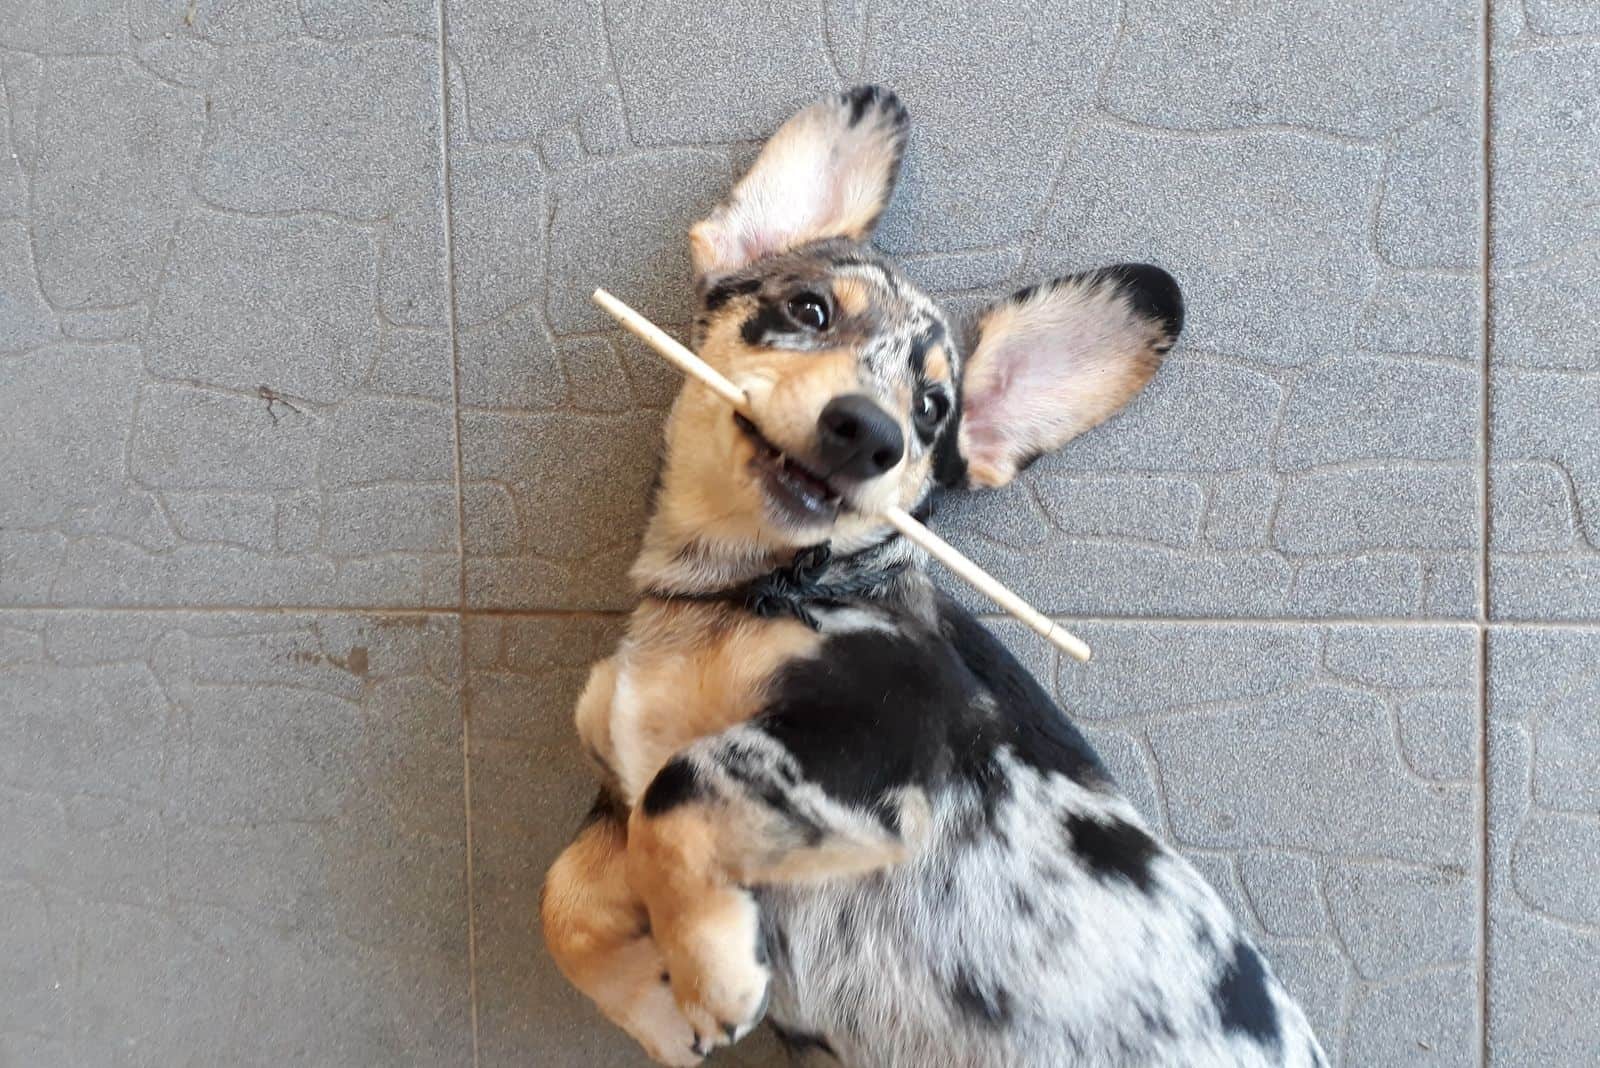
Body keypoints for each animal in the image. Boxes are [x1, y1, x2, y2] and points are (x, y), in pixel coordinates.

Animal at [537, 85, 1324, 1068]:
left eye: (931, 409)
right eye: (808, 310)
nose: (869, 434)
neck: (734, 594)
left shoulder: (880, 730)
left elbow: (684, 786)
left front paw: (712, 975)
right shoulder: (621, 791)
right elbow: (563, 894)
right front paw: (654, 1004)